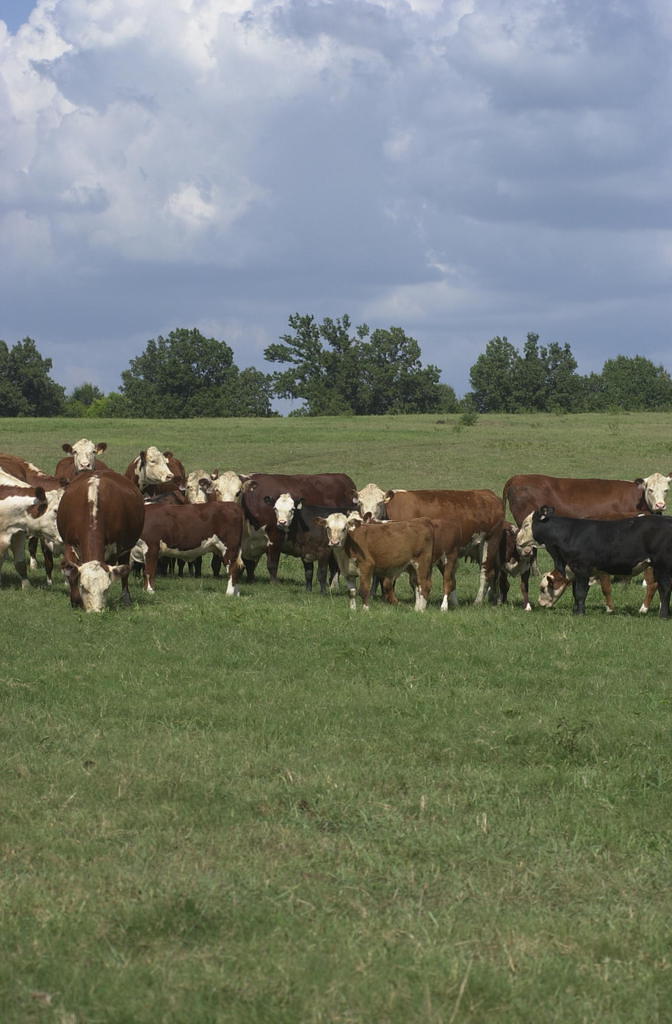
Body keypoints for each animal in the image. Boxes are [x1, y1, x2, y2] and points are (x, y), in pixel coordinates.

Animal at [57, 468, 145, 610]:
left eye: (106, 589)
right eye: (83, 587)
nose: (96, 611)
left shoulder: (114, 548)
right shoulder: (69, 543)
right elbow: (71, 573)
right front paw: (75, 601)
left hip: (126, 549)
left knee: (125, 572)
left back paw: (126, 599)